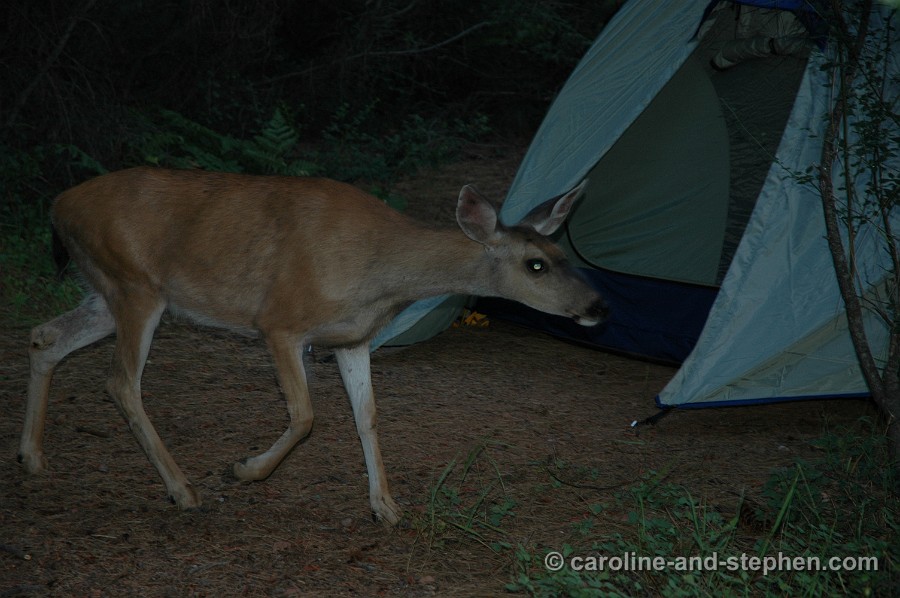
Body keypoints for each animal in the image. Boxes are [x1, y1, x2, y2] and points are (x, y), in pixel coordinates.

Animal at [18, 167, 607, 525]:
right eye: (536, 264)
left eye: (562, 252)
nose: (598, 305)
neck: (380, 275)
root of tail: (57, 205)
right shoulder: (280, 321)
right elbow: (305, 416)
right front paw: (245, 469)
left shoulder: (353, 337)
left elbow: (367, 417)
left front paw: (385, 506)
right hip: (136, 286)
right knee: (120, 382)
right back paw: (183, 490)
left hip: (105, 290)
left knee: (45, 337)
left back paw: (30, 456)